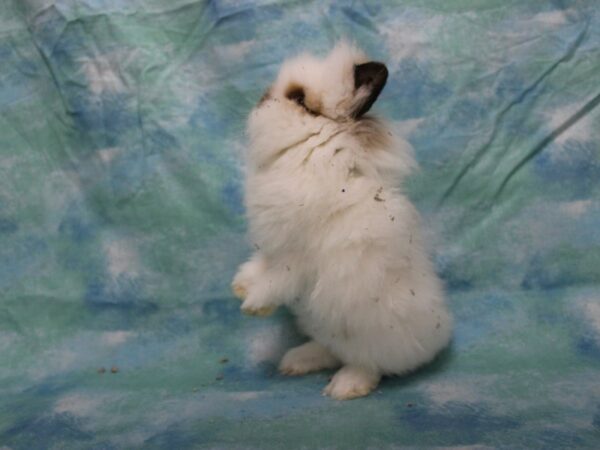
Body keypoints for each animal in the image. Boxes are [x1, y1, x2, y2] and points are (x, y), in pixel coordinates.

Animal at [232, 43, 452, 400]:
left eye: (298, 98)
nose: (259, 101)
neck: (311, 152)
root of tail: (439, 334)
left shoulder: (296, 255)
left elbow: (277, 278)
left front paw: (253, 306)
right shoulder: (273, 244)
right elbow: (261, 264)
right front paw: (240, 286)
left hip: (369, 328)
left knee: (370, 362)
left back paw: (345, 387)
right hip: (323, 323)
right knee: (334, 350)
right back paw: (296, 361)